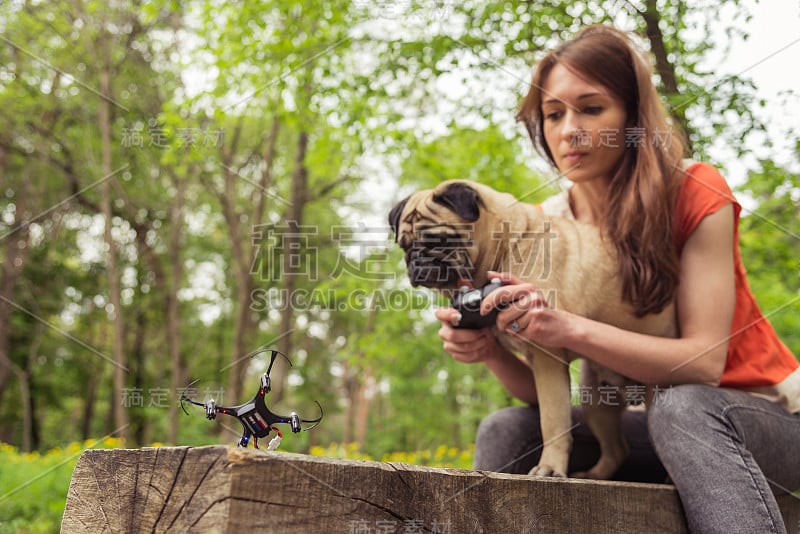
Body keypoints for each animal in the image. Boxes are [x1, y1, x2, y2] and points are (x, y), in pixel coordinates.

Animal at [388, 180, 676, 482]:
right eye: (405, 246)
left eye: (439, 241)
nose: (416, 261)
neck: (505, 249)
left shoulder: (546, 355)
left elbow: (552, 421)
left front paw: (550, 467)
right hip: (597, 401)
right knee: (617, 448)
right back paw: (594, 475)